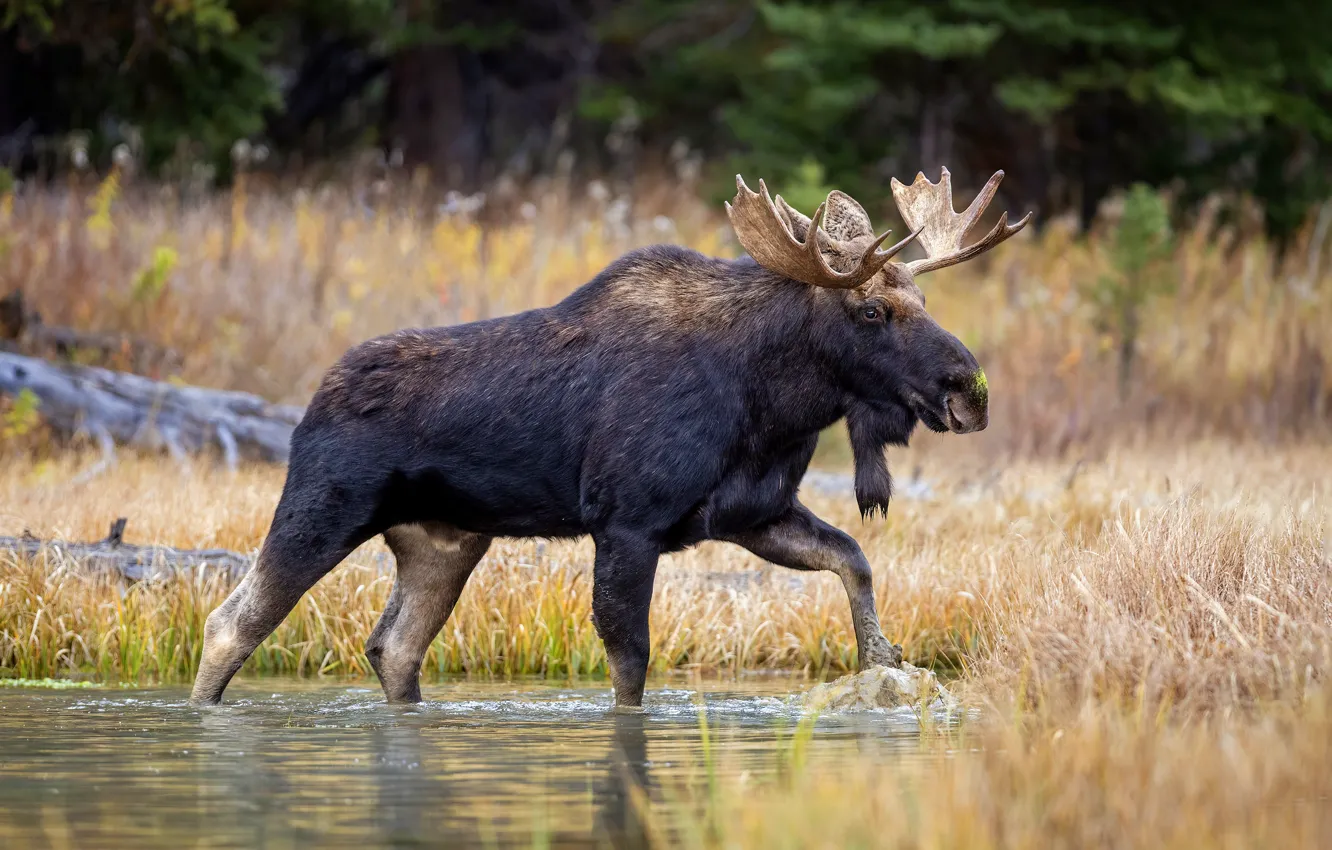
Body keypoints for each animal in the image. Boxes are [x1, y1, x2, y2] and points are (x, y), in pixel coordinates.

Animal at [190, 168, 1032, 709]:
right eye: (871, 312)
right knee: (232, 623)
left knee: (394, 646)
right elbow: (631, 666)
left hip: (444, 540)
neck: (773, 406)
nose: (970, 390)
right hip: (324, 505)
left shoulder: (753, 513)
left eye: (923, 299)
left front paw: (880, 663)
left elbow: (854, 560)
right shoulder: (627, 522)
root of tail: (312, 401)